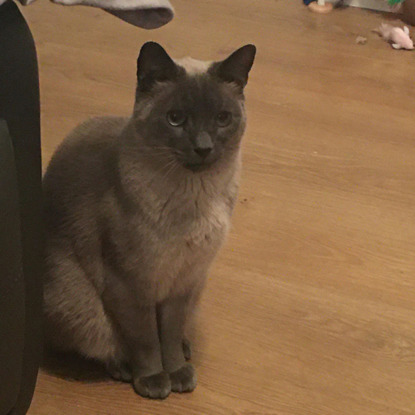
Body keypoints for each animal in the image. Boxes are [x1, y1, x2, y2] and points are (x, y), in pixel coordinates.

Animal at [43, 41, 256, 400]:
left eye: (222, 119)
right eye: (176, 119)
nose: (203, 148)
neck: (195, 199)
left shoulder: (184, 282)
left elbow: (167, 335)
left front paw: (177, 373)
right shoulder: (132, 284)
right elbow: (144, 340)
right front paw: (155, 380)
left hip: (198, 288)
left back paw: (185, 349)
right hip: (77, 299)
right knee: (101, 343)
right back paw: (124, 367)